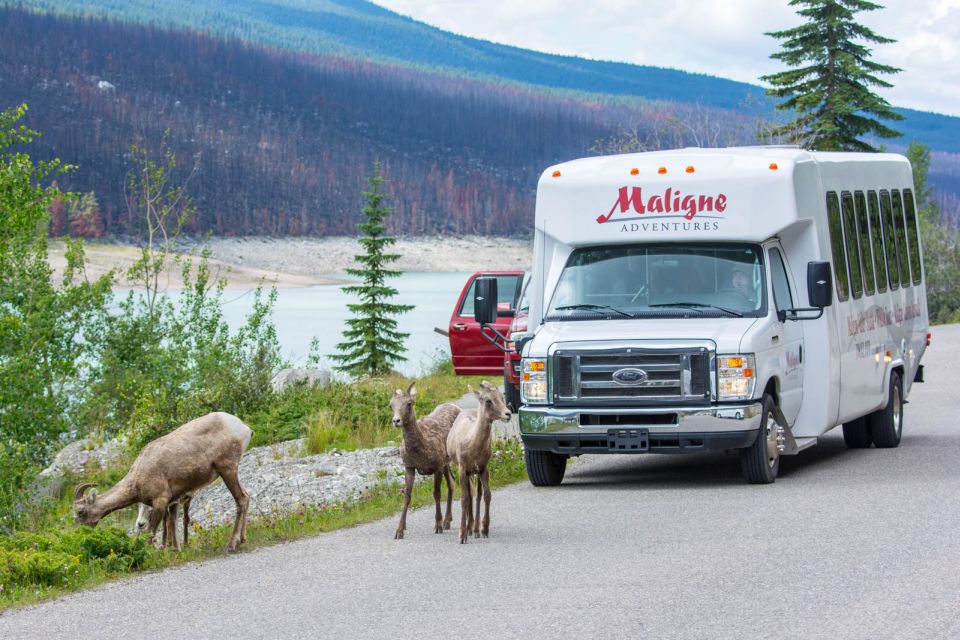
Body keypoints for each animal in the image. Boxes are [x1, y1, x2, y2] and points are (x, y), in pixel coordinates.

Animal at [75, 412, 253, 552]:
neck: (137, 476)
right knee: (247, 495)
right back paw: (243, 539)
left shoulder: (160, 501)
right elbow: (172, 525)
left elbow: (151, 532)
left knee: (241, 499)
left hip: (227, 469)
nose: (78, 534)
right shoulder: (173, 501)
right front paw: (175, 551)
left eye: (80, 512)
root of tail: (243, 428)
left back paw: (231, 545)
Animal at [386, 382, 462, 536]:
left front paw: (437, 526)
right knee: (452, 483)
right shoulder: (409, 467)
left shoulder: (437, 467)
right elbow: (407, 497)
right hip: (446, 464)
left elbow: (436, 494)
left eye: (409, 403)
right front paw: (399, 531)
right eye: (391, 405)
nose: (396, 421)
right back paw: (447, 521)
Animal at [448, 382, 512, 544]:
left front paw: (484, 530)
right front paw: (462, 535)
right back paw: (470, 528)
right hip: (468, 473)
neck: (472, 443)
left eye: (502, 397)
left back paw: (475, 529)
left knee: (476, 495)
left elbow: (486, 495)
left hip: (475, 473)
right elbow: (464, 499)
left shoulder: (483, 469)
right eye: (488, 400)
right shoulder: (462, 470)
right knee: (470, 495)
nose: (507, 414)